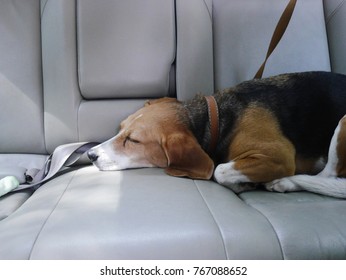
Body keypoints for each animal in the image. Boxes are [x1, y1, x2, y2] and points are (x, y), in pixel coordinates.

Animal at [87, 72, 346, 197]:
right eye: (120, 128)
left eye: (133, 140)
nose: (90, 154)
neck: (217, 118)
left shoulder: (278, 157)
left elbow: (219, 170)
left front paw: (242, 184)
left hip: (342, 124)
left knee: (326, 177)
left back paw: (285, 183)